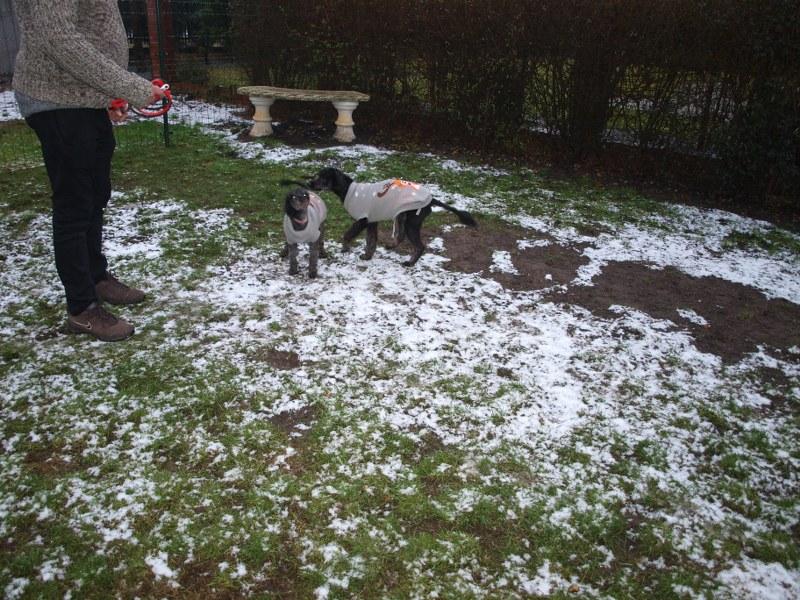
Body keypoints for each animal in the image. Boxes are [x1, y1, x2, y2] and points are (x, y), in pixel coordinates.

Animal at [300, 167, 477, 267]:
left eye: (322, 177)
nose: (309, 184)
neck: (348, 189)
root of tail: (431, 199)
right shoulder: (372, 222)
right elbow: (371, 241)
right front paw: (367, 256)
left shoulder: (362, 220)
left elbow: (348, 235)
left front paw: (345, 248)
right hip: (402, 218)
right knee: (401, 236)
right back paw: (392, 247)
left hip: (411, 223)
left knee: (419, 246)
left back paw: (410, 263)